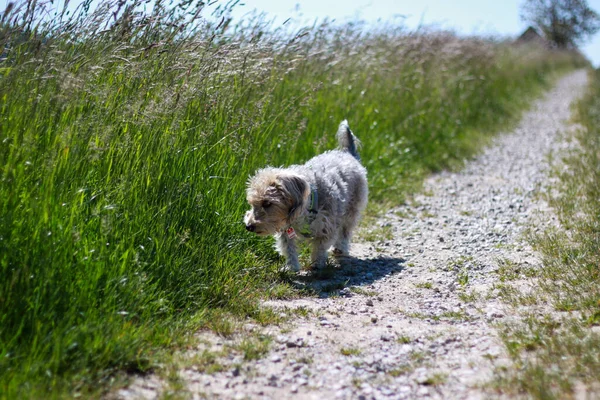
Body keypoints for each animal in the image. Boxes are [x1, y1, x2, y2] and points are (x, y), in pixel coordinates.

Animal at [243, 119, 366, 272]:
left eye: (267, 203)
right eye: (252, 203)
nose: (249, 226)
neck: (307, 206)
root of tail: (349, 154)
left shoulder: (326, 227)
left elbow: (319, 248)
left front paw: (317, 264)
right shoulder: (286, 230)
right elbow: (289, 249)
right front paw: (291, 267)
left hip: (351, 211)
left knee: (345, 231)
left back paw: (340, 248)